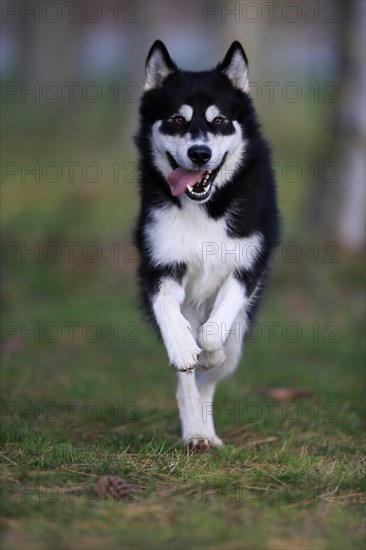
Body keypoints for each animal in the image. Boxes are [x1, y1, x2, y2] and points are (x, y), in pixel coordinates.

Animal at [134, 40, 280, 452]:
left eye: (218, 121)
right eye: (177, 120)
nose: (199, 153)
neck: (204, 206)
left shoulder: (247, 266)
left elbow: (214, 333)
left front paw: (209, 352)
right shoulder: (159, 264)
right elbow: (168, 312)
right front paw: (186, 348)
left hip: (241, 336)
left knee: (211, 378)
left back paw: (207, 424)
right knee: (186, 381)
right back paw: (196, 432)